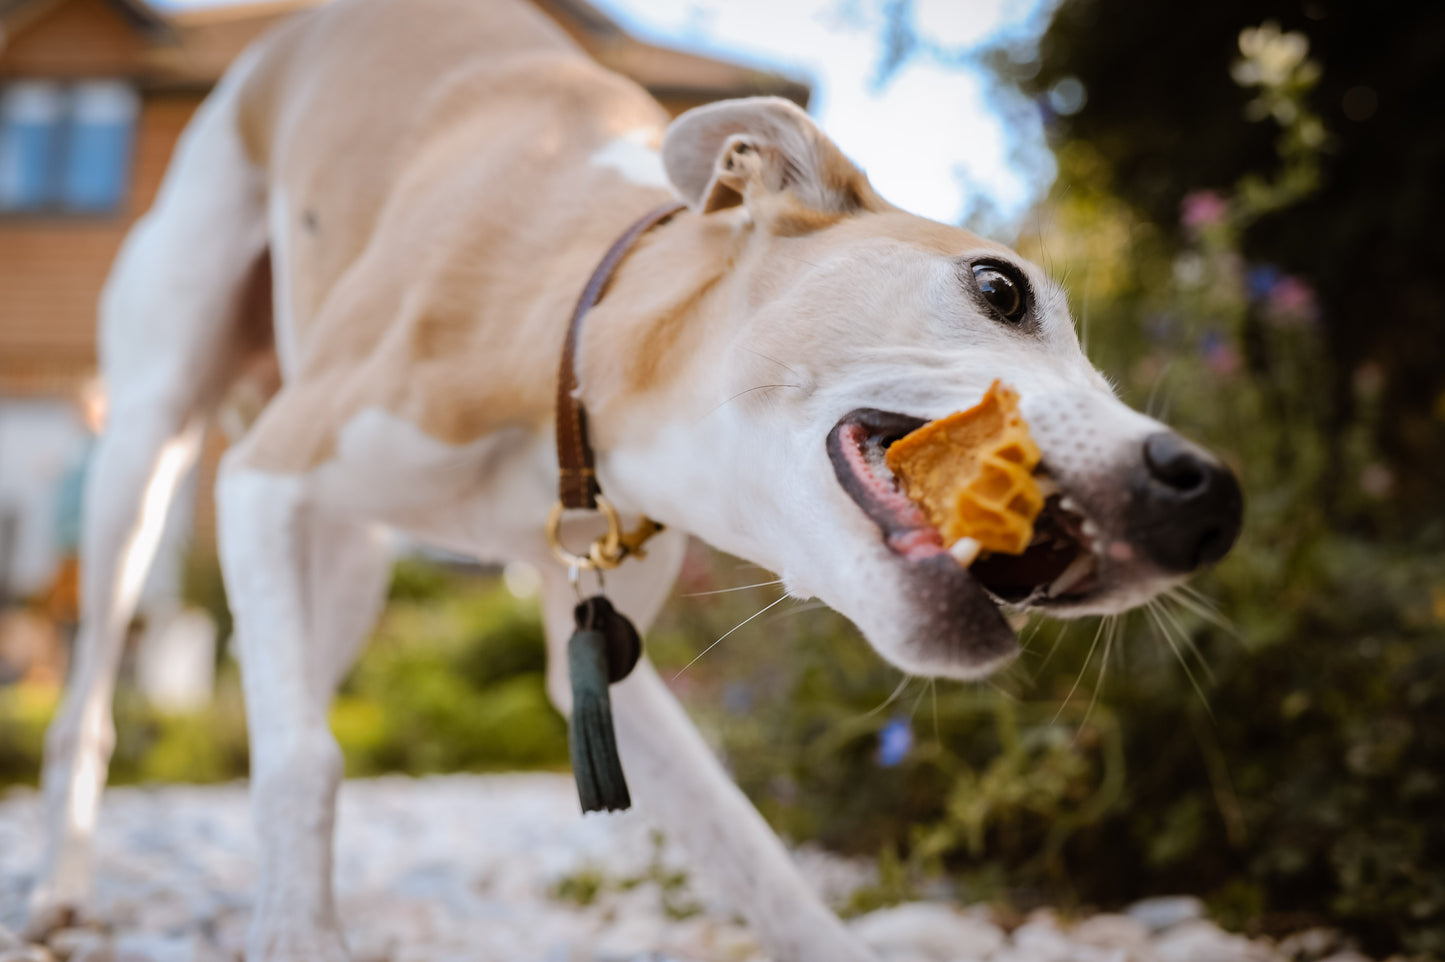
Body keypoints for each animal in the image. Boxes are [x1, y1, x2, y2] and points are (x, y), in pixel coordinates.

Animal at [25, 1, 1242, 959]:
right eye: (999, 287)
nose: (1208, 495)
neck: (578, 351)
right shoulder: (268, 478)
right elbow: (303, 758)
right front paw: (297, 935)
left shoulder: (606, 654)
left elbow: (749, 847)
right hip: (149, 449)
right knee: (103, 700)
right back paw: (63, 888)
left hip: (353, 559)